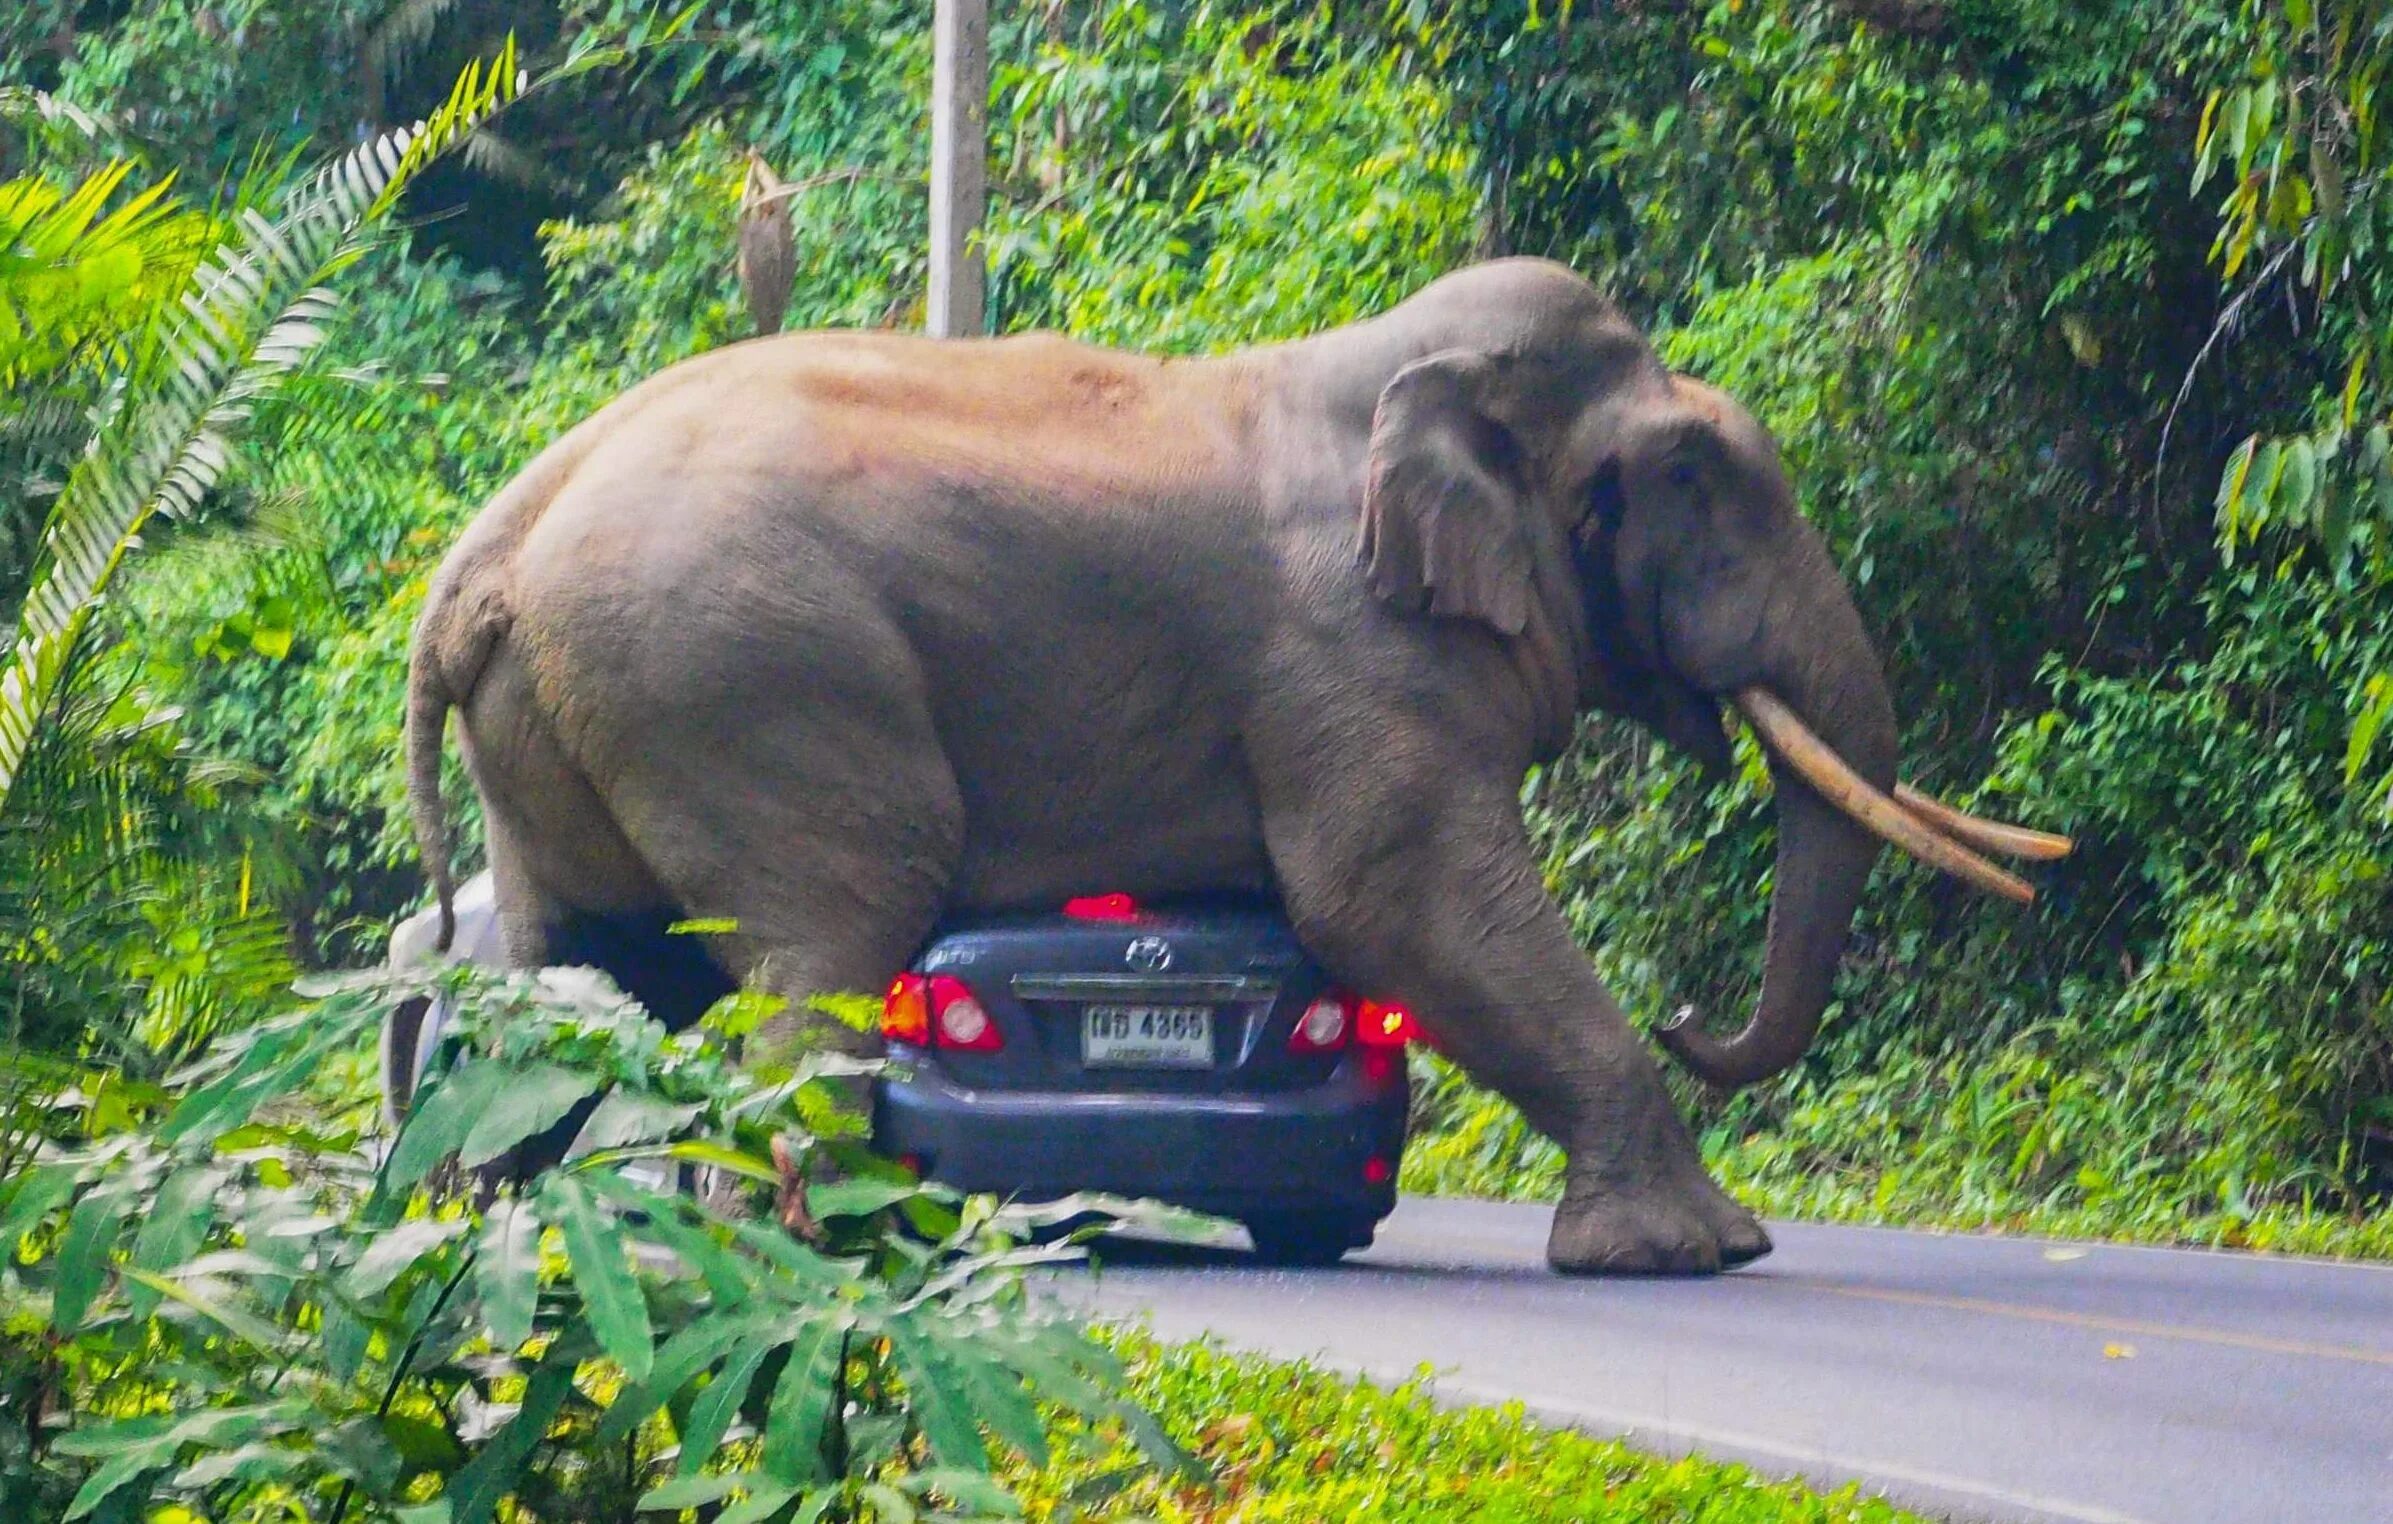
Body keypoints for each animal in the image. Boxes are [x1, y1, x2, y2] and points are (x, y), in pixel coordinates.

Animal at [406, 258, 2057, 1272]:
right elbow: (1394, 903)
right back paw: (808, 1250)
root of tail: (483, 554)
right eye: (1697, 478)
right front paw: (1698, 1253)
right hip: (746, 683)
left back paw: (522, 1248)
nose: (1693, 1014)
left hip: (577, 724)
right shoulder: (1349, 655)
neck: (1399, 370)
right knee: (828, 933)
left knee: (585, 971)